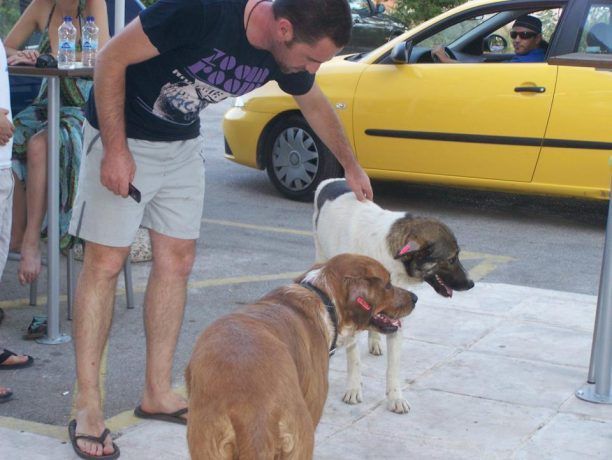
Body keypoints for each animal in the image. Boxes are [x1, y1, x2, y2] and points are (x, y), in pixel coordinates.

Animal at [314, 178, 474, 414]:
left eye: (458, 256)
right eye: (452, 259)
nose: (471, 284)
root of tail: (332, 181)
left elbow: (393, 368)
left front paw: (395, 397)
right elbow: (354, 359)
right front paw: (354, 388)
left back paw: (375, 341)